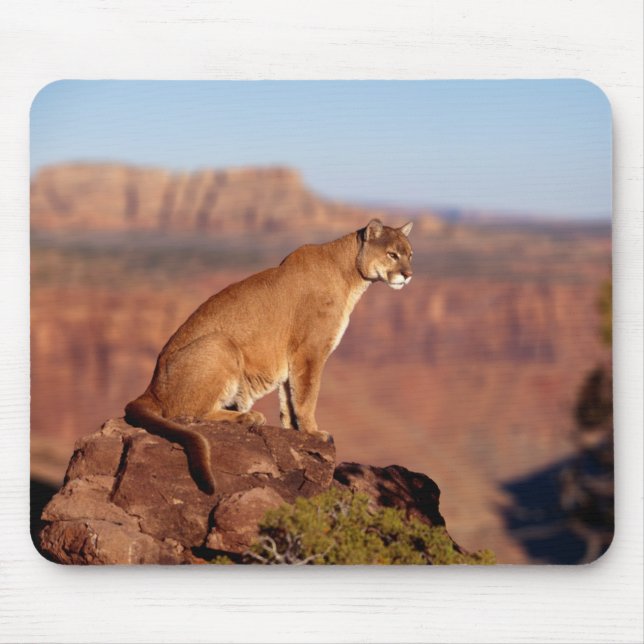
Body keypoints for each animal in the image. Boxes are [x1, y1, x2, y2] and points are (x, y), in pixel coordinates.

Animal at [125, 219, 413, 493]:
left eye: (410, 254)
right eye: (392, 255)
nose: (408, 275)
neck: (350, 272)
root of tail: (151, 387)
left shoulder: (292, 359)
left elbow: (289, 400)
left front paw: (294, 432)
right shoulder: (310, 351)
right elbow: (307, 396)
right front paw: (314, 433)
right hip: (220, 343)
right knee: (189, 414)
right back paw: (247, 417)